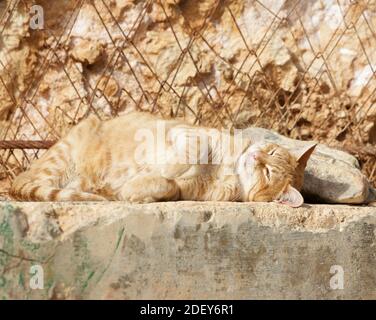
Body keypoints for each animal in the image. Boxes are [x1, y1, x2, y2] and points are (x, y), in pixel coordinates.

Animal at [10, 112, 316, 208]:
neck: (227, 171)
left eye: (268, 173)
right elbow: (191, 150)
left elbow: (168, 185)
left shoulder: (185, 191)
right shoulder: (186, 133)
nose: (256, 155)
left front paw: (134, 190)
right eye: (271, 153)